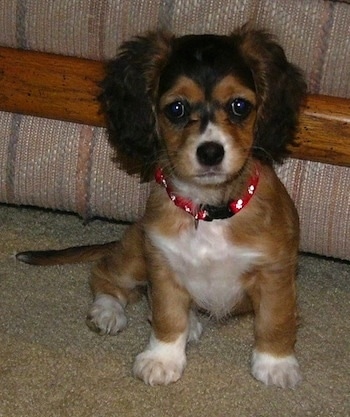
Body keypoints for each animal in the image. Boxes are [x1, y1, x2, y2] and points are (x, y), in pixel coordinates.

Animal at [17, 25, 306, 386]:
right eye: (176, 109)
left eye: (239, 105)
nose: (210, 152)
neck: (209, 212)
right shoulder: (162, 262)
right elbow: (167, 316)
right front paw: (163, 357)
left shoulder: (275, 270)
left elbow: (275, 320)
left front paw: (275, 362)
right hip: (135, 255)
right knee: (106, 275)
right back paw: (108, 311)